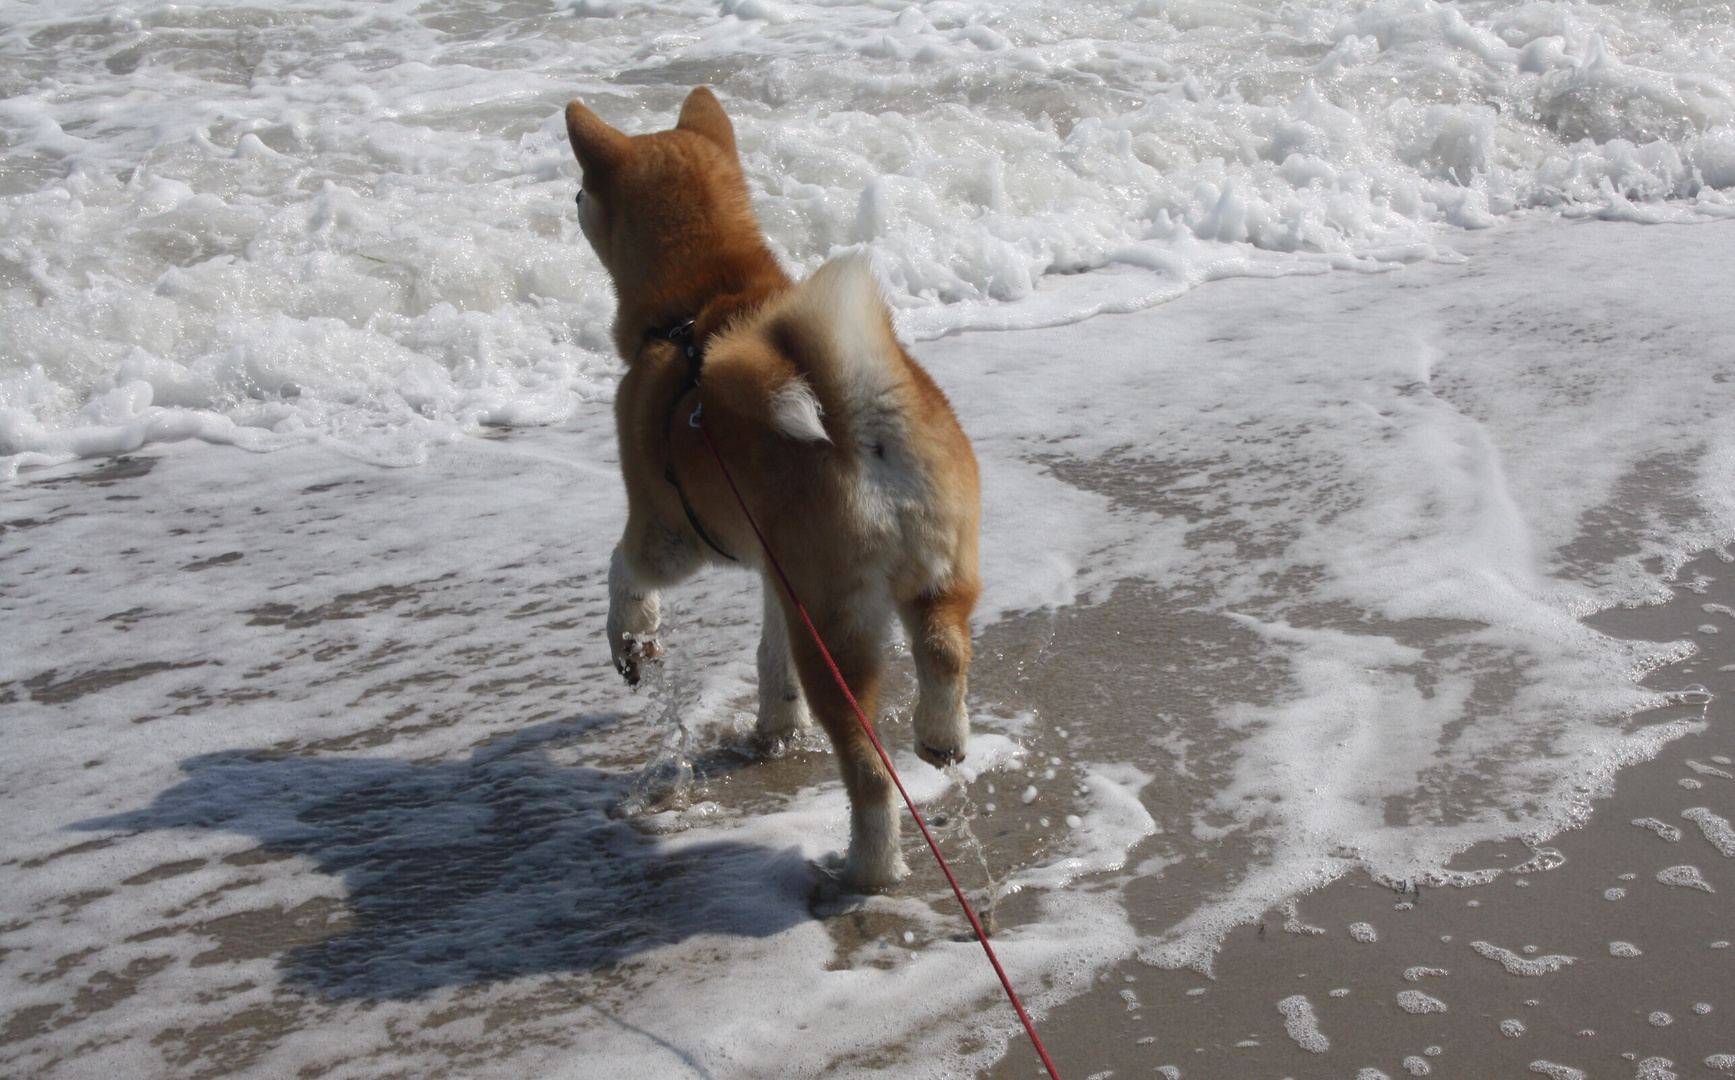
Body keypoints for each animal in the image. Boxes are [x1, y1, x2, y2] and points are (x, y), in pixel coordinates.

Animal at [565, 88, 985, 895]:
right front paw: (775, 724)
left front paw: (630, 634)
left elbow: (622, 570)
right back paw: (941, 733)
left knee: (870, 775)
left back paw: (868, 868)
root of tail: (862, 421)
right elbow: (768, 654)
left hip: (837, 640)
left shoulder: (667, 529)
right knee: (946, 650)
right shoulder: (775, 569)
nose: (569, 200)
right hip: (933, 574)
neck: (702, 296)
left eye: (580, 194)